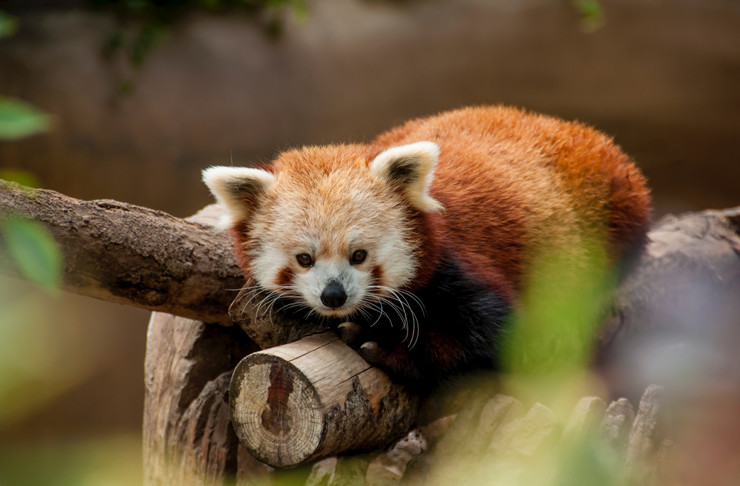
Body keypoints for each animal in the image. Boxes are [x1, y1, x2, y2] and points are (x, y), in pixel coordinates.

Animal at [205, 105, 652, 388]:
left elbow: (497, 335)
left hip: (612, 207)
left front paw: (388, 348)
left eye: (359, 255)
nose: (334, 296)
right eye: (304, 259)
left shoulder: (458, 263)